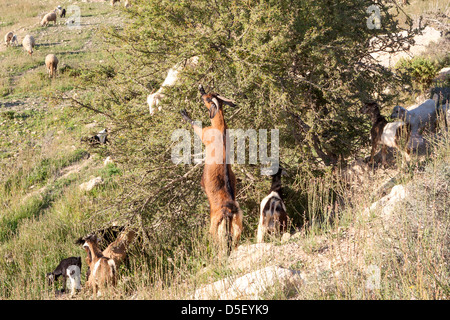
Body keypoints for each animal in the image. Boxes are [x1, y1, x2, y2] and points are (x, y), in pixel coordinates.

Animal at [180, 84, 243, 254]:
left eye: (208, 99)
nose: (202, 93)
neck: (220, 127)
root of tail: (229, 211)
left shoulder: (204, 134)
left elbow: (195, 125)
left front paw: (184, 113)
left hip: (215, 228)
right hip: (237, 227)